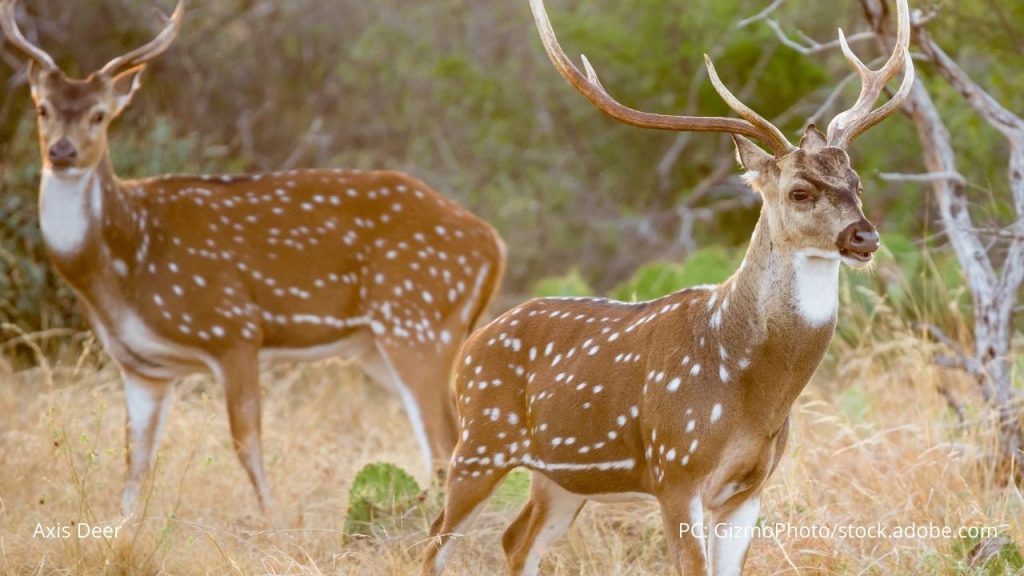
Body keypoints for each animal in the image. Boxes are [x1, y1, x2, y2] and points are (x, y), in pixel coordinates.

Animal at [0, 0, 505, 516]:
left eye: (100, 115)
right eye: (42, 108)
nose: (62, 152)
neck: (125, 267)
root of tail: (493, 243)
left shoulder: (233, 328)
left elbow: (246, 444)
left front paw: (271, 519)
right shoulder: (142, 366)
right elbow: (135, 462)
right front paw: (124, 528)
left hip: (418, 323)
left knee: (445, 444)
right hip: (380, 345)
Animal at [422, 0, 914, 574]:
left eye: (856, 183)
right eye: (799, 192)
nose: (865, 236)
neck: (752, 390)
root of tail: (471, 345)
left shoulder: (749, 488)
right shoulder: (677, 468)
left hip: (560, 477)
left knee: (516, 540)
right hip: (480, 440)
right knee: (433, 540)